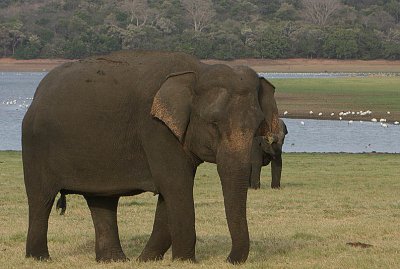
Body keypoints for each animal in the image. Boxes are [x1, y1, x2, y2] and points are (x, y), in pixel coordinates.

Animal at [21, 49, 280, 262]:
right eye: (213, 124)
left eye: (257, 126)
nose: (228, 259)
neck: (199, 69)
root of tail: (37, 93)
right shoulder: (156, 129)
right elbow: (176, 185)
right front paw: (185, 261)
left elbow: (170, 193)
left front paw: (146, 260)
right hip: (35, 144)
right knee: (41, 198)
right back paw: (40, 258)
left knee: (102, 200)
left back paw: (114, 260)